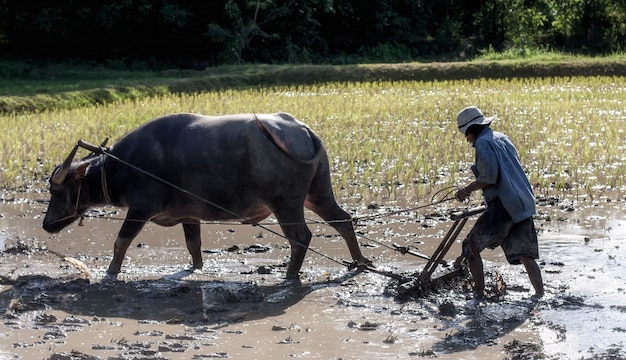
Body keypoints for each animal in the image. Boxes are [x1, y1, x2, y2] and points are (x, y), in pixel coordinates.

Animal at [44, 112, 368, 278]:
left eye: (55, 190)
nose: (46, 224)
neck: (123, 166)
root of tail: (304, 131)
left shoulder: (140, 209)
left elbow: (121, 241)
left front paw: (110, 272)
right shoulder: (190, 214)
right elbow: (193, 245)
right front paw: (198, 267)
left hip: (286, 203)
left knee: (300, 237)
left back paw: (289, 275)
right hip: (318, 193)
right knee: (342, 221)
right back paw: (360, 261)